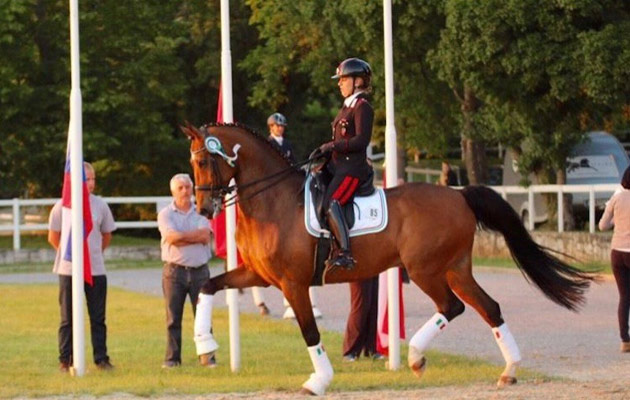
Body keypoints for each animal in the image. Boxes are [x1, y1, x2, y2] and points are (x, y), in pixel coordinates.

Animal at [181, 123, 592, 396]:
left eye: (204, 161)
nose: (203, 208)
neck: (274, 201)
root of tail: (458, 194)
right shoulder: (258, 274)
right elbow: (207, 286)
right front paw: (204, 345)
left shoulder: (292, 284)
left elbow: (310, 332)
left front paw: (319, 380)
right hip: (455, 268)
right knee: (488, 307)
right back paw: (509, 370)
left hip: (425, 269)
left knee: (452, 306)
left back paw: (415, 356)